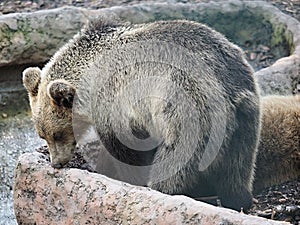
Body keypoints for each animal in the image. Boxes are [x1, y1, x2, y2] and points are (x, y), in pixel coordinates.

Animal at [23, 18, 262, 211]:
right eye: (43, 135)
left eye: (57, 134)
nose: (56, 163)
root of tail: (228, 89)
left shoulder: (116, 104)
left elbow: (126, 150)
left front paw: (130, 179)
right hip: (246, 118)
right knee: (238, 167)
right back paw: (237, 199)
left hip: (189, 112)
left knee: (175, 161)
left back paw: (161, 189)